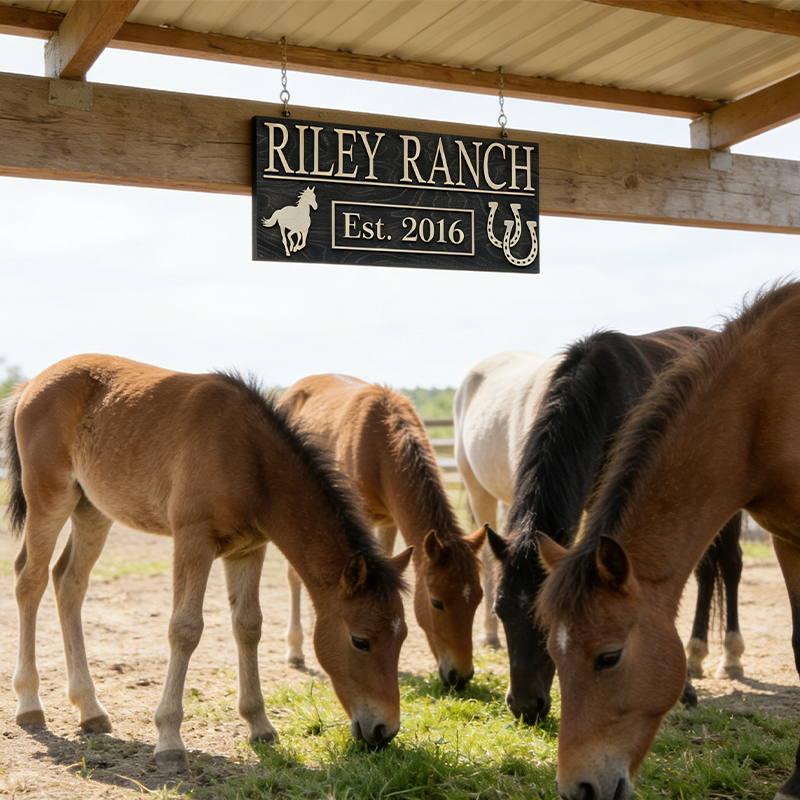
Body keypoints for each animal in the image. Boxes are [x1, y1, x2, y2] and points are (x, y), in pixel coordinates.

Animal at [1, 354, 412, 771]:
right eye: (360, 641)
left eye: (403, 636)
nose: (385, 730)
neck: (249, 456)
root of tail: (31, 385)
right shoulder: (193, 541)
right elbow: (185, 629)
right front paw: (169, 739)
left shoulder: (248, 550)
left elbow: (248, 626)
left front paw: (260, 725)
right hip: (49, 499)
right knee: (30, 580)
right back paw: (30, 704)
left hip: (92, 509)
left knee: (68, 581)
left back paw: (90, 710)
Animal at [278, 374, 486, 689]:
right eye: (436, 602)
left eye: (478, 599)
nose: (460, 677)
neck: (379, 441)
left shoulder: (388, 521)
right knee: (293, 577)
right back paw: (295, 650)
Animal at [479, 331, 744, 723]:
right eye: (500, 610)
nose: (526, 707)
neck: (602, 395)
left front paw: (681, 691)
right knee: (706, 569)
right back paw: (696, 656)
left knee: (729, 563)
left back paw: (731, 657)